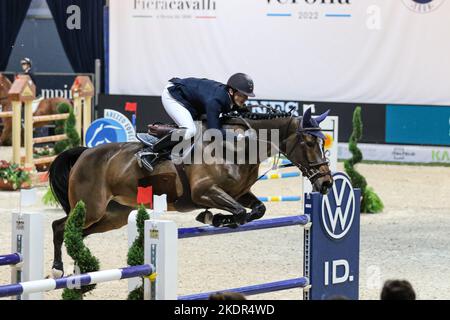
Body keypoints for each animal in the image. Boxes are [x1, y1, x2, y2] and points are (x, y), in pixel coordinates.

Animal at [48, 109, 334, 276]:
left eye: (323, 141)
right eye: (310, 142)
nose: (326, 184)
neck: (239, 147)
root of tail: (85, 152)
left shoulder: (240, 192)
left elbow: (256, 209)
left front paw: (218, 219)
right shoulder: (204, 192)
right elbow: (240, 212)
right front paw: (213, 218)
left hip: (112, 215)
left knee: (78, 232)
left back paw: (81, 269)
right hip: (91, 207)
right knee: (59, 227)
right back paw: (58, 270)